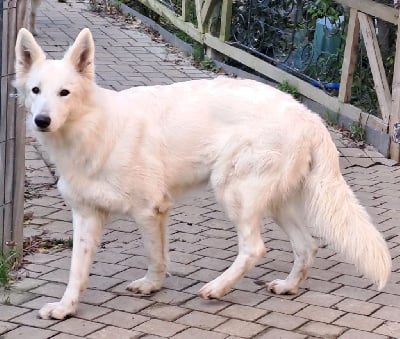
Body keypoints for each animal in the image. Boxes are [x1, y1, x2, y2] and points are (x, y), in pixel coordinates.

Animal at [14, 27, 390, 320]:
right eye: (36, 91)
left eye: (65, 93)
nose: (42, 121)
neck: (92, 128)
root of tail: (307, 115)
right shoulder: (87, 215)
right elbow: (76, 269)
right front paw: (66, 308)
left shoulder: (149, 209)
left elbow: (154, 255)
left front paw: (151, 285)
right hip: (275, 203)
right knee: (307, 246)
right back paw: (287, 286)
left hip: (232, 192)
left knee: (255, 248)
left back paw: (217, 288)